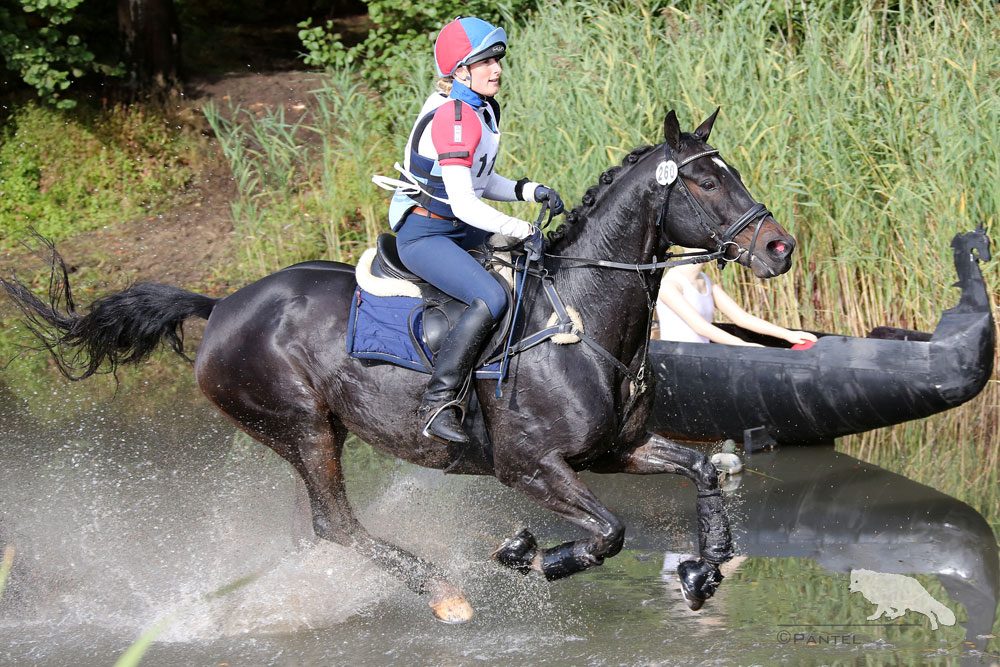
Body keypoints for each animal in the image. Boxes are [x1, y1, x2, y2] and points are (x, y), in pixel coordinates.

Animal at [1, 109, 796, 628]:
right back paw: (445, 593)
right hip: (300, 426)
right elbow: (608, 534)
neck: (583, 317)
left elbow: (702, 472)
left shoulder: (616, 450)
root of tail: (222, 302)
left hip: (319, 429)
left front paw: (704, 569)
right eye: (704, 184)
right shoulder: (531, 468)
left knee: (327, 525)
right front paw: (528, 555)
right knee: (335, 525)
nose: (779, 248)